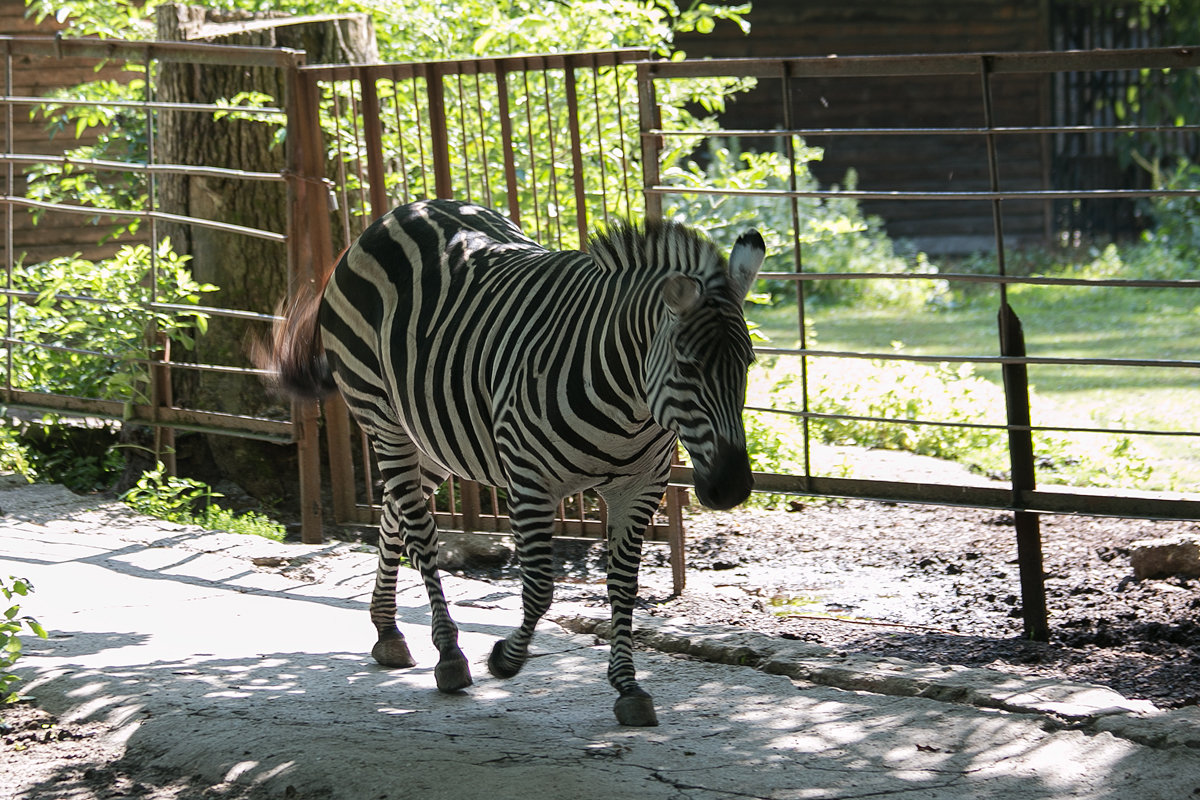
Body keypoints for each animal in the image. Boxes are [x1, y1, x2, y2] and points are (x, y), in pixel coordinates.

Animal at [264, 199, 763, 724]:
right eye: (688, 366)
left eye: (748, 363)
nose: (731, 487)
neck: (630, 405)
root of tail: (403, 211)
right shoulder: (528, 479)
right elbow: (541, 587)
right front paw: (505, 659)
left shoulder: (641, 486)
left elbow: (624, 587)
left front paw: (628, 686)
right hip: (384, 419)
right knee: (419, 532)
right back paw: (449, 655)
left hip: (434, 437)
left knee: (394, 513)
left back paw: (387, 632)